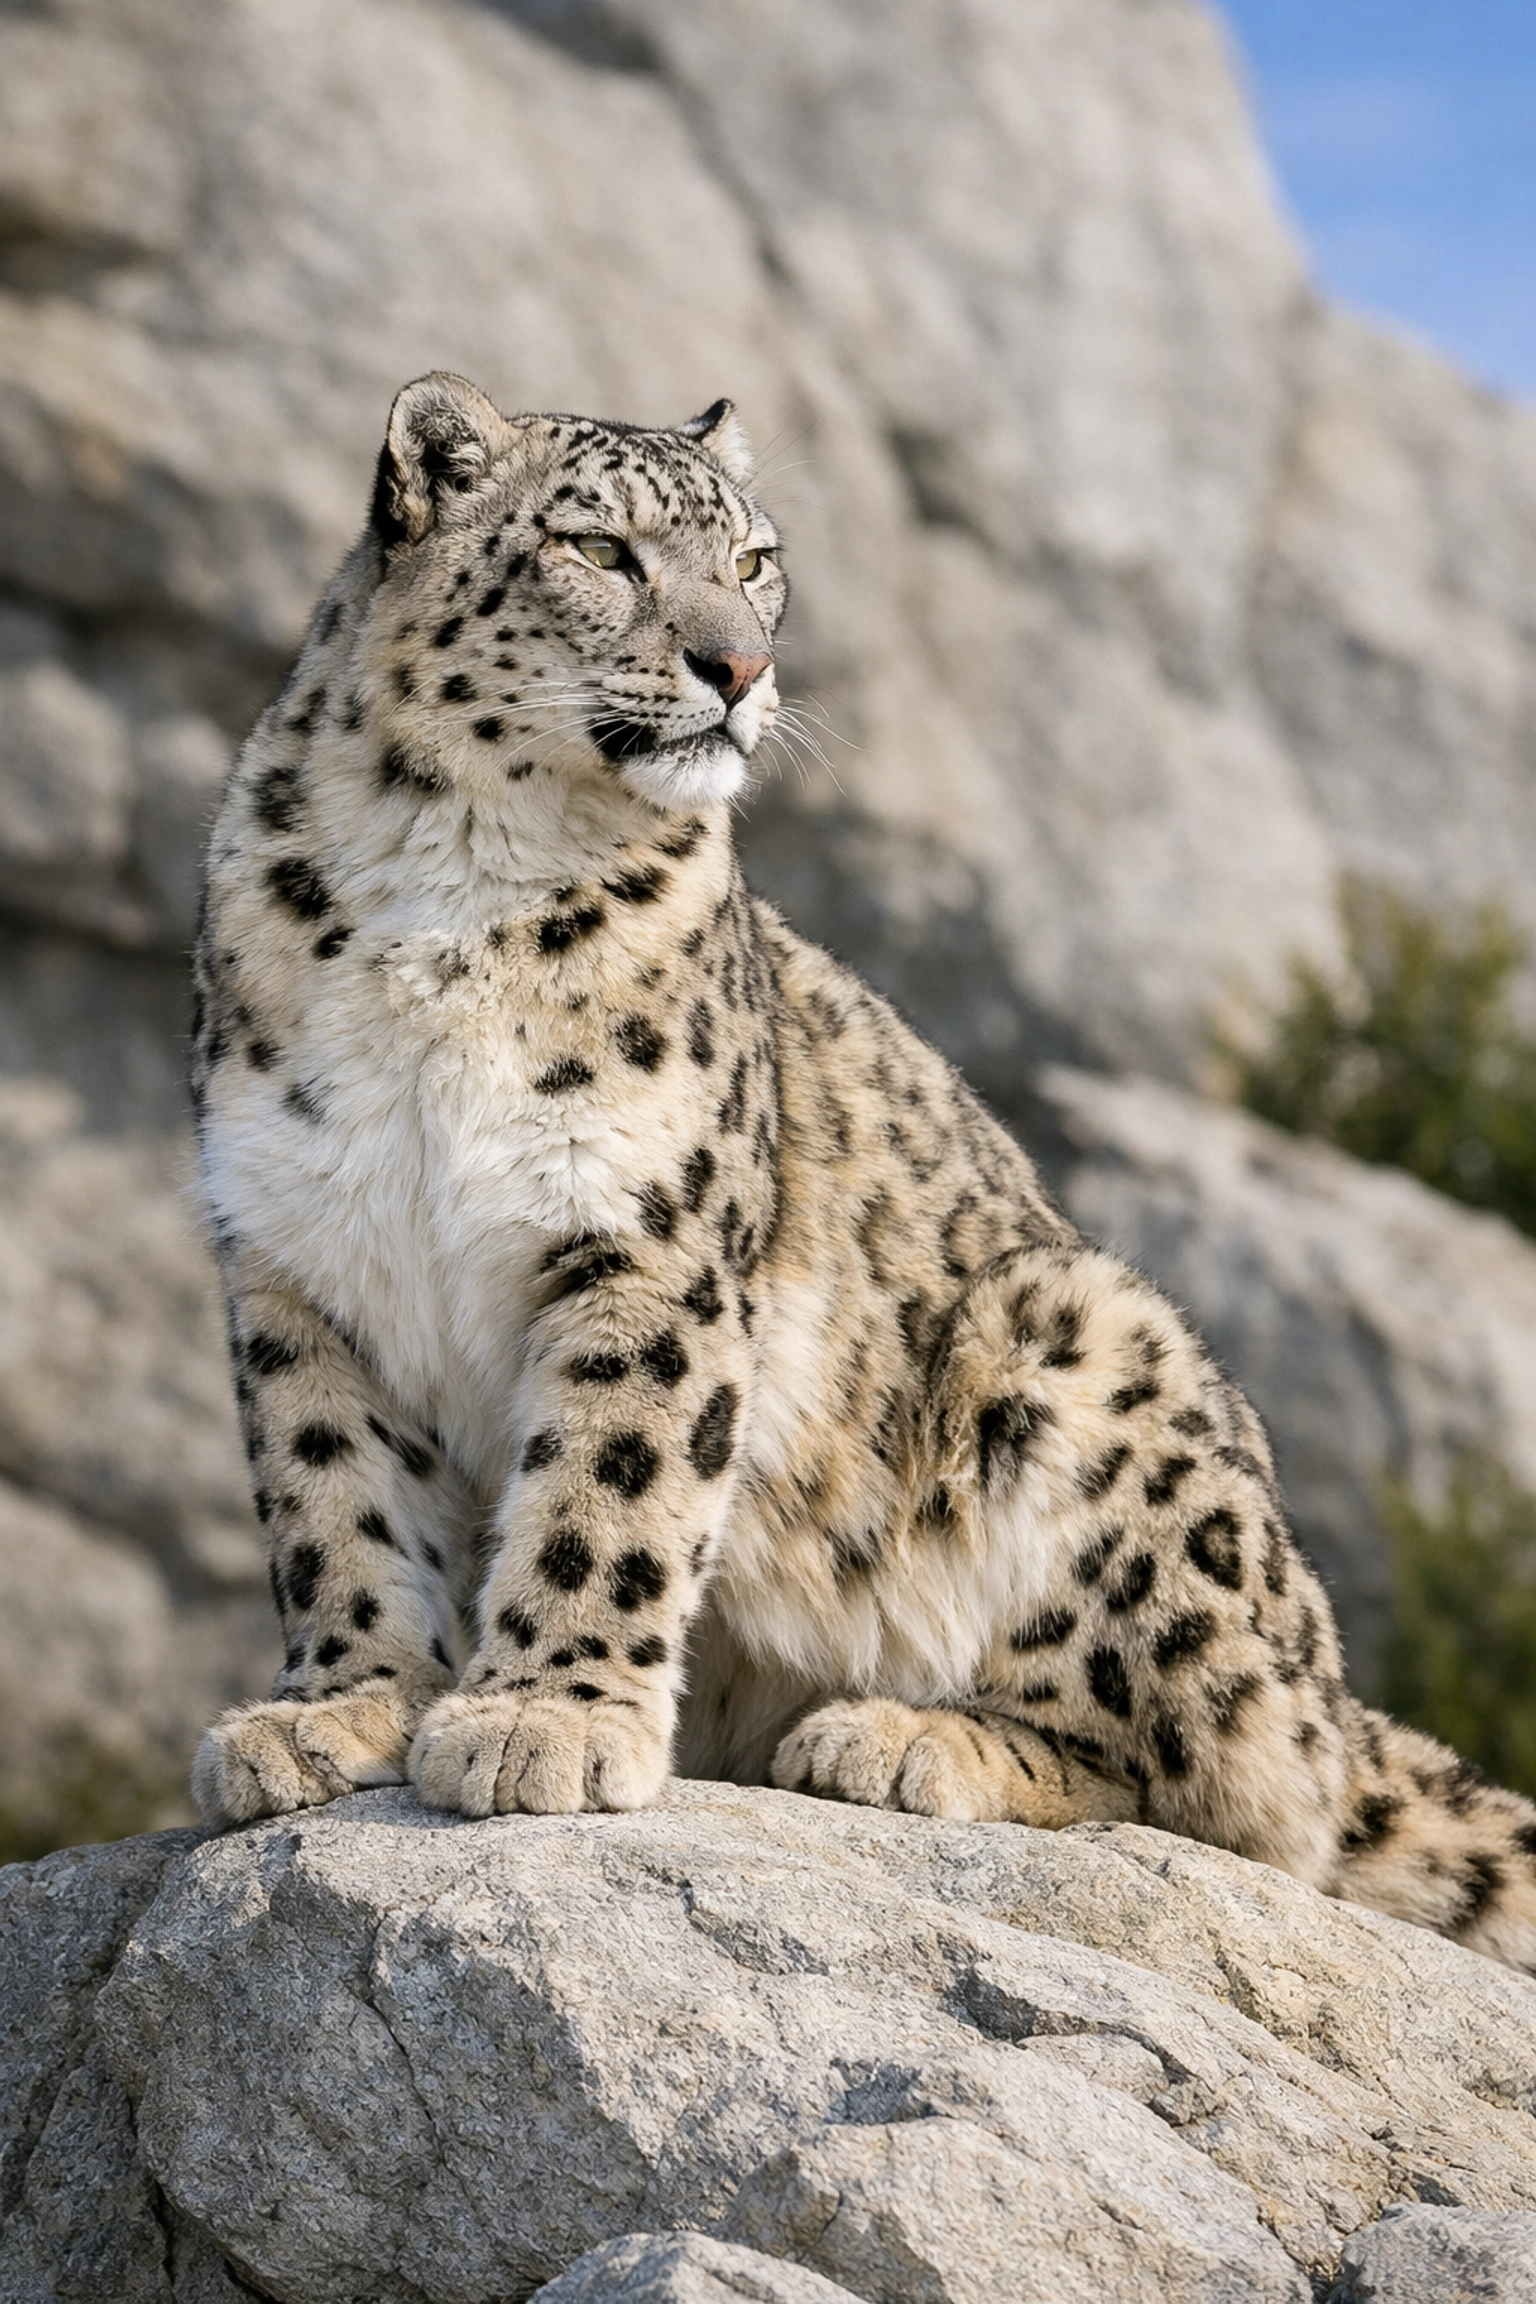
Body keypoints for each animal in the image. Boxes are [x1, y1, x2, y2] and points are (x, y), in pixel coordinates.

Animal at [190, 369, 1536, 1973]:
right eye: (600, 548)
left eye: (755, 558)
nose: (738, 663)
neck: (448, 880)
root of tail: (1335, 1683)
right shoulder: (294, 1261)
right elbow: (332, 1501)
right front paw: (336, 1708)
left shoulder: (644, 1238)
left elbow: (608, 1486)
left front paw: (545, 1721)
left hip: (1085, 1357)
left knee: (1228, 1785)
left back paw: (901, 1740)